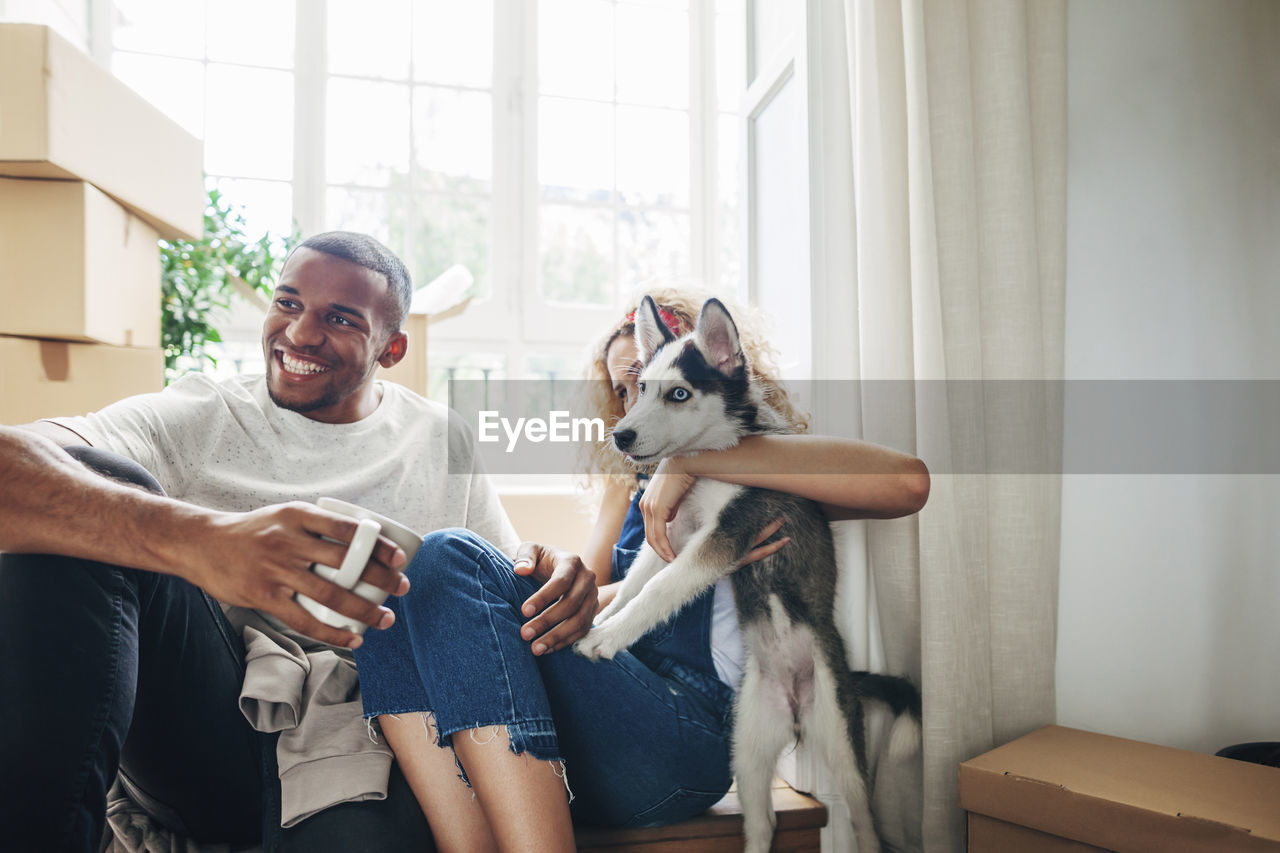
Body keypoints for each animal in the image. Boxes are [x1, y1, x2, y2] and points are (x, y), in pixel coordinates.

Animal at [578, 295, 921, 845]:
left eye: (679, 393)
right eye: (641, 388)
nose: (622, 436)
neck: (713, 459)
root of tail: (797, 709)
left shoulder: (729, 532)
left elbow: (660, 589)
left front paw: (606, 638)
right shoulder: (672, 534)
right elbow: (635, 585)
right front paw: (601, 620)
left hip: (844, 748)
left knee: (866, 825)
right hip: (749, 748)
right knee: (761, 825)